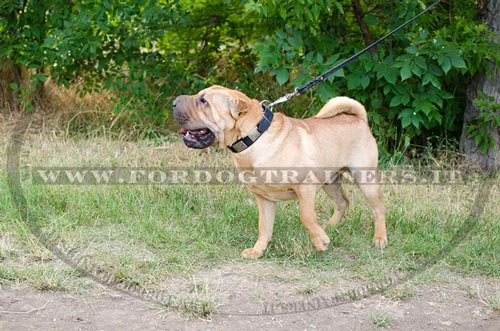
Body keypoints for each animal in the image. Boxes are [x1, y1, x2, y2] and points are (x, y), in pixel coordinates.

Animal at [174, 85, 388, 260]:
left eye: (204, 101)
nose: (173, 102)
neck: (254, 138)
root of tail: (359, 119)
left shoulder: (305, 187)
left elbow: (306, 216)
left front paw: (320, 242)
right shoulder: (264, 198)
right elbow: (264, 227)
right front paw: (258, 251)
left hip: (365, 179)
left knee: (378, 208)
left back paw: (380, 239)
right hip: (331, 181)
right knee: (343, 202)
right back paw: (330, 227)